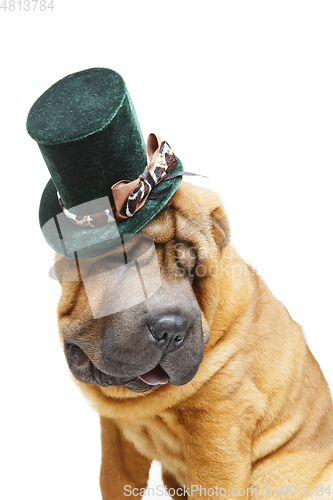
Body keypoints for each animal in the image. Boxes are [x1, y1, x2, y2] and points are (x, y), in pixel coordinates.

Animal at [55, 181, 332, 500]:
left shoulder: (219, 428)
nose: (170, 330)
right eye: (122, 264)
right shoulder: (116, 433)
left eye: (194, 272)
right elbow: (113, 479)